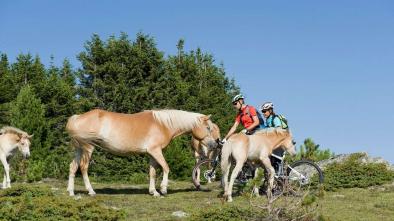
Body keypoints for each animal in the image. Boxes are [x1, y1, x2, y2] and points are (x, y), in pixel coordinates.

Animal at [66, 108, 217, 196]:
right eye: (208, 127)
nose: (215, 143)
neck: (163, 124)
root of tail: (77, 117)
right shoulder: (156, 151)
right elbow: (166, 168)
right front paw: (163, 189)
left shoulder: (152, 154)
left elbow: (152, 173)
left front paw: (153, 192)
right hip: (88, 148)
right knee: (83, 167)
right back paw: (91, 191)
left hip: (79, 149)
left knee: (73, 167)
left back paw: (71, 192)